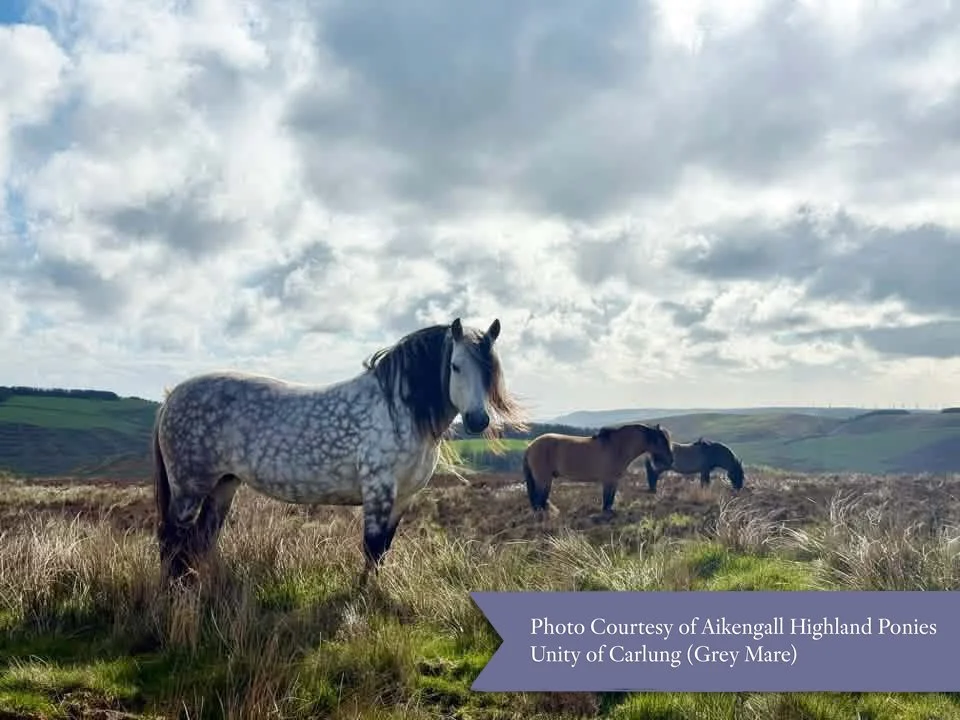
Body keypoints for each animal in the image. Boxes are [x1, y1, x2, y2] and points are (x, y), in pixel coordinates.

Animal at [152, 317, 527, 585]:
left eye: (490, 369)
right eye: (455, 366)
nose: (478, 420)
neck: (398, 410)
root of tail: (172, 397)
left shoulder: (403, 497)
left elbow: (384, 548)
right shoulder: (378, 490)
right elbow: (372, 547)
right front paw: (363, 599)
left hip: (223, 485)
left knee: (201, 539)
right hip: (189, 488)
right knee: (173, 540)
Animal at [521, 422, 674, 516]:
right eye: (661, 441)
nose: (671, 460)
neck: (617, 447)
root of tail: (530, 446)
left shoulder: (613, 480)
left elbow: (610, 499)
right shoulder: (608, 480)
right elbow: (607, 499)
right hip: (543, 479)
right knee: (539, 501)